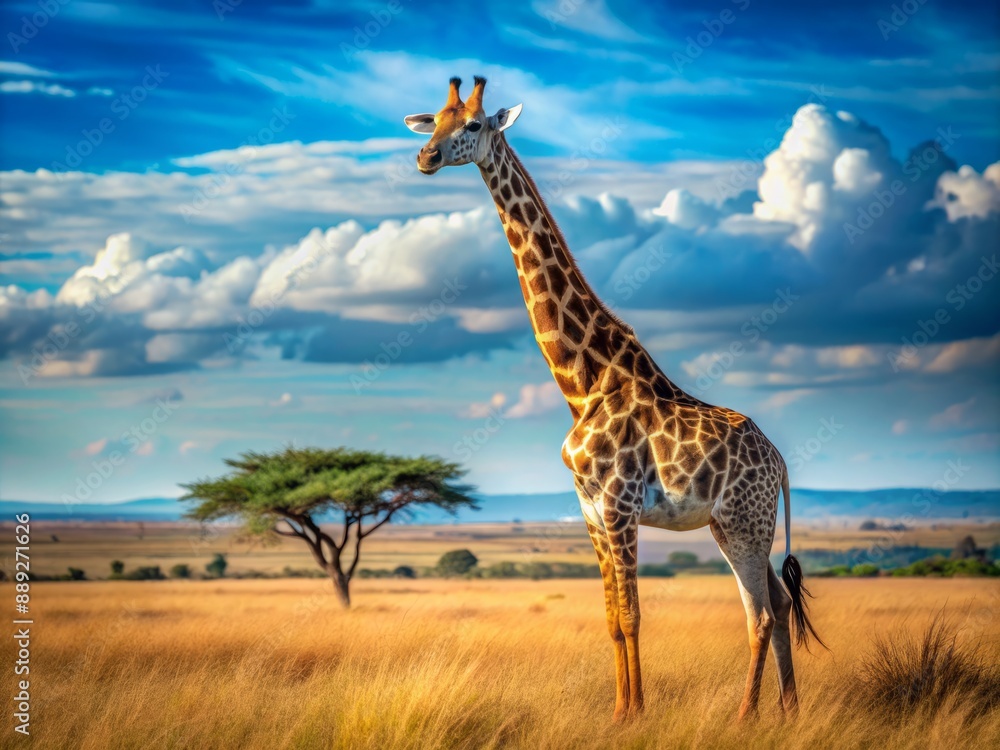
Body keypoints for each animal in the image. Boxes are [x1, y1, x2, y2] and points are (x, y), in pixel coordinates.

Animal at [405, 76, 823, 722]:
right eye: (436, 120)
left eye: (472, 125)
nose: (425, 158)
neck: (583, 385)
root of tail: (779, 462)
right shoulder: (590, 510)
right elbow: (610, 619)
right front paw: (620, 709)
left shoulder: (621, 504)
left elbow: (632, 615)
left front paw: (635, 713)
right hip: (728, 526)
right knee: (776, 606)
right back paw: (789, 712)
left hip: (746, 521)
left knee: (759, 613)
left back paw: (746, 715)